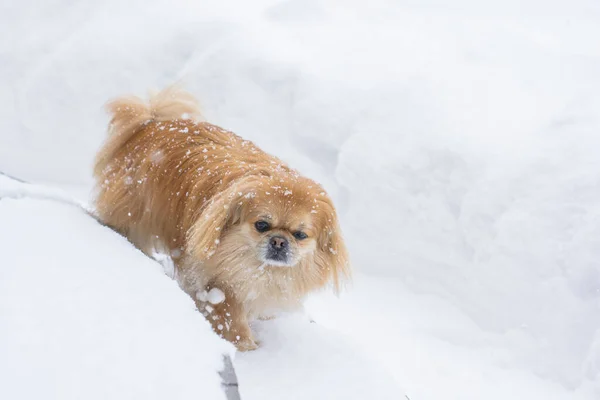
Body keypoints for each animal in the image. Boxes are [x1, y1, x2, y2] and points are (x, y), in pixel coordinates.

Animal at [91, 86, 350, 350]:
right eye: (262, 225)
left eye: (300, 235)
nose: (278, 241)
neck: (257, 267)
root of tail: (152, 122)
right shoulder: (216, 279)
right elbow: (229, 315)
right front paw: (245, 344)